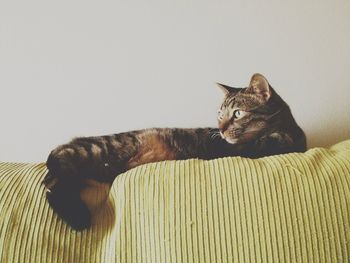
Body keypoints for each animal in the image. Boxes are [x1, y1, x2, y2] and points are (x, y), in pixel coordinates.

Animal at [43, 73, 306, 231]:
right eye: (219, 115)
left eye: (238, 113)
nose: (220, 129)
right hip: (96, 150)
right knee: (53, 173)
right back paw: (77, 215)